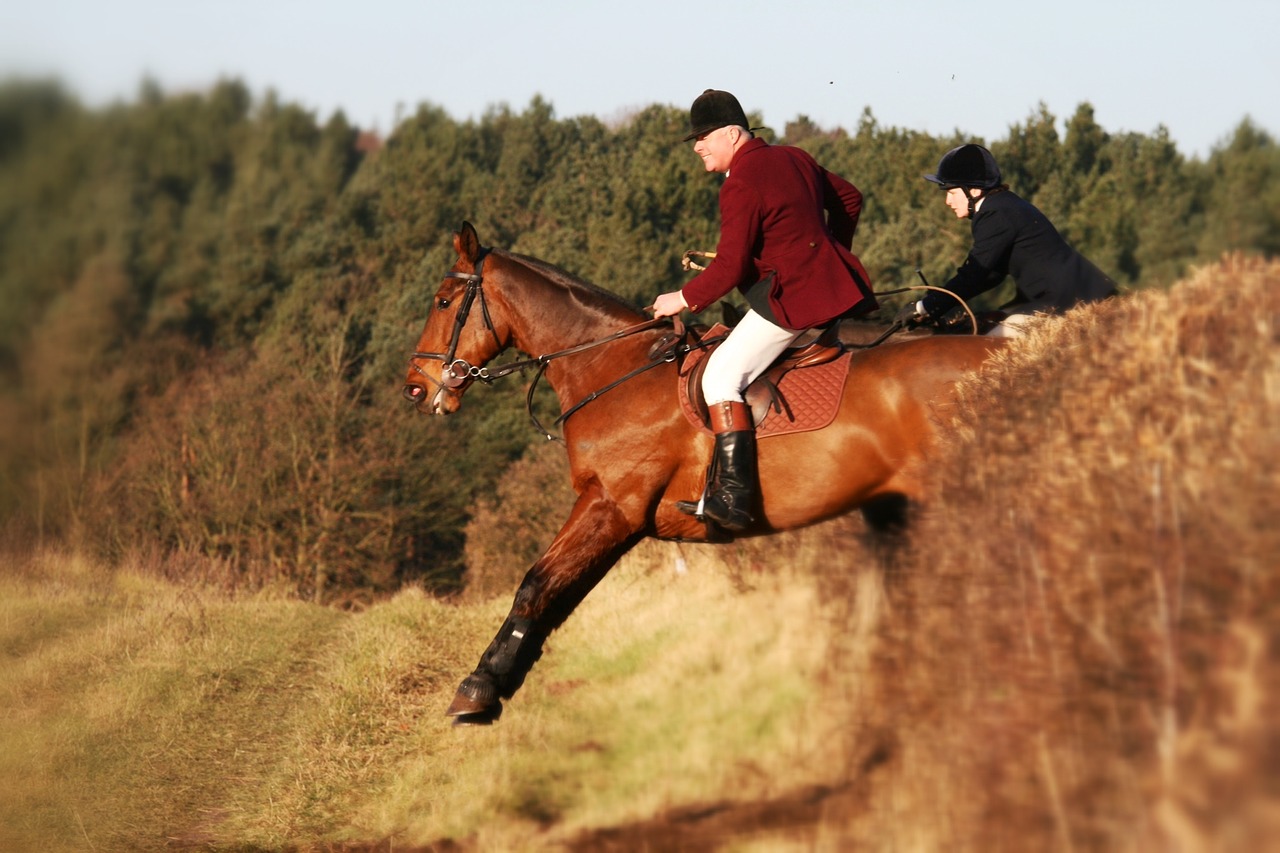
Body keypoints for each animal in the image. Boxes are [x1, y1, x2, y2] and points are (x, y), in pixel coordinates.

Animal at [399, 220, 998, 722]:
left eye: (443, 301)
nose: (415, 389)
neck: (613, 367)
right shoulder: (620, 517)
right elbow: (555, 595)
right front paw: (500, 679)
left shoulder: (611, 506)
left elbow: (536, 585)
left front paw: (479, 688)